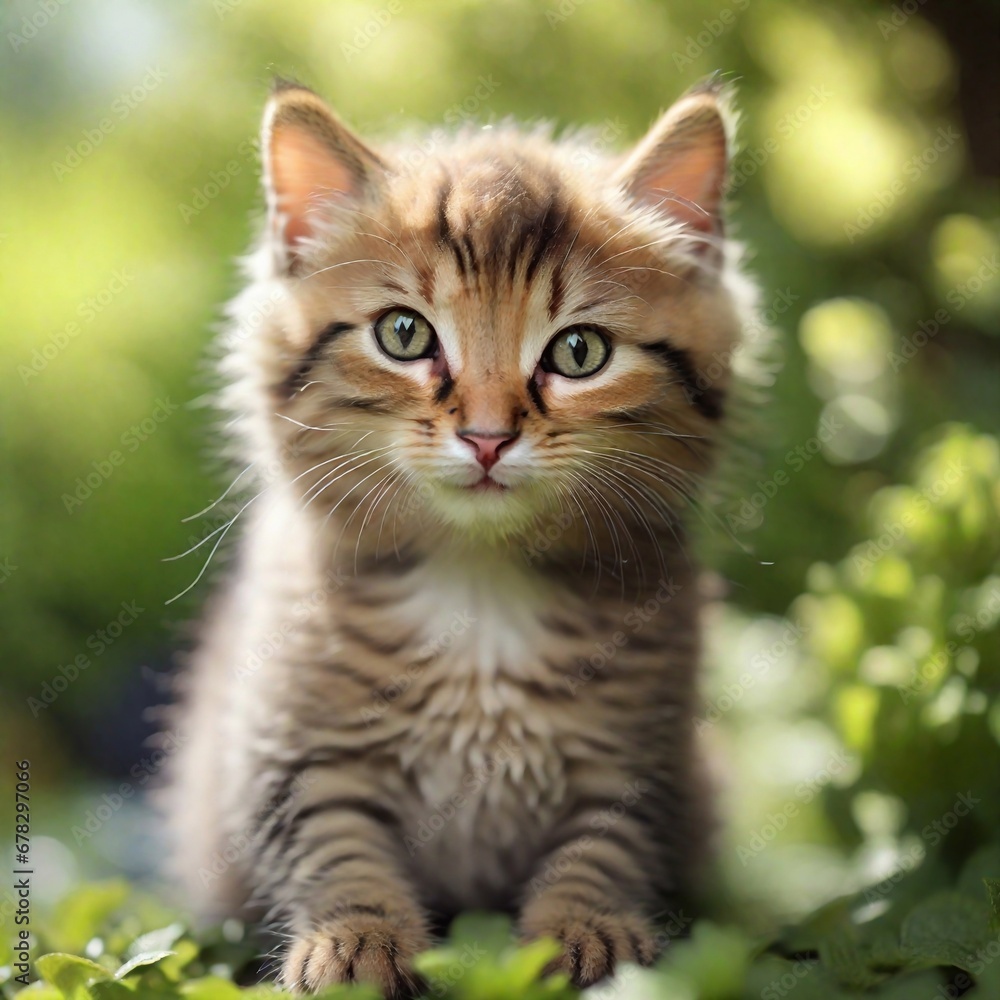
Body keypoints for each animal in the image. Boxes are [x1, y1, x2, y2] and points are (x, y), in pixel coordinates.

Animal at [166, 74, 752, 996]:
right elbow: (335, 847)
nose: (486, 436)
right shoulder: (292, 751)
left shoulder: (637, 764)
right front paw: (356, 943)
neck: (480, 587)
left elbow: (603, 851)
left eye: (579, 352)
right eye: (404, 334)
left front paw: (588, 933)